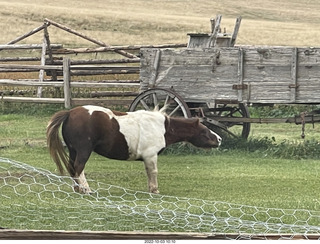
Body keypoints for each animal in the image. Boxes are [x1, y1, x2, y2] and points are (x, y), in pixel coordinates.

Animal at [46, 106, 221, 193]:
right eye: (204, 131)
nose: (219, 139)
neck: (162, 127)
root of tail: (70, 112)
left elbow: (149, 172)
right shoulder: (151, 156)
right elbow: (153, 172)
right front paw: (154, 190)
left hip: (74, 150)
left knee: (71, 167)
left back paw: (77, 188)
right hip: (84, 150)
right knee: (78, 167)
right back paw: (86, 188)